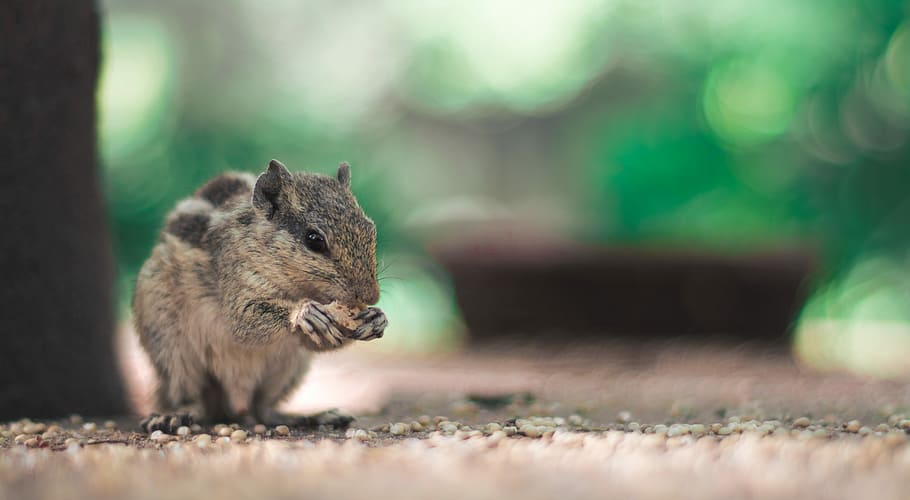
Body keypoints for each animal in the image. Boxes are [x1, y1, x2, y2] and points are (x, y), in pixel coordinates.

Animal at [133, 159, 387, 433]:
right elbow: (243, 320)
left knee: (264, 409)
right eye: (315, 240)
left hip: (287, 367)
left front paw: (376, 319)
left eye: (370, 229)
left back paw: (313, 416)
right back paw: (173, 415)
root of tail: (234, 400)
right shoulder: (235, 281)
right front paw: (304, 312)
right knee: (190, 397)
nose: (372, 296)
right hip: (172, 351)